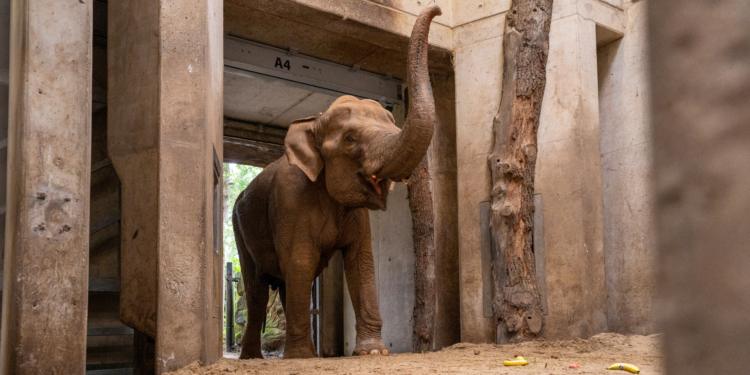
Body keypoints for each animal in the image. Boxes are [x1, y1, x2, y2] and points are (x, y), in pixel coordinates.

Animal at [229, 2, 440, 362]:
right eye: (351, 139)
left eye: (391, 123)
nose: (436, 9)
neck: (313, 121)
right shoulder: (290, 199)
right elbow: (300, 260)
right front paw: (301, 358)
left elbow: (361, 261)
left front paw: (372, 353)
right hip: (240, 230)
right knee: (257, 288)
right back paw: (256, 358)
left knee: (283, 284)